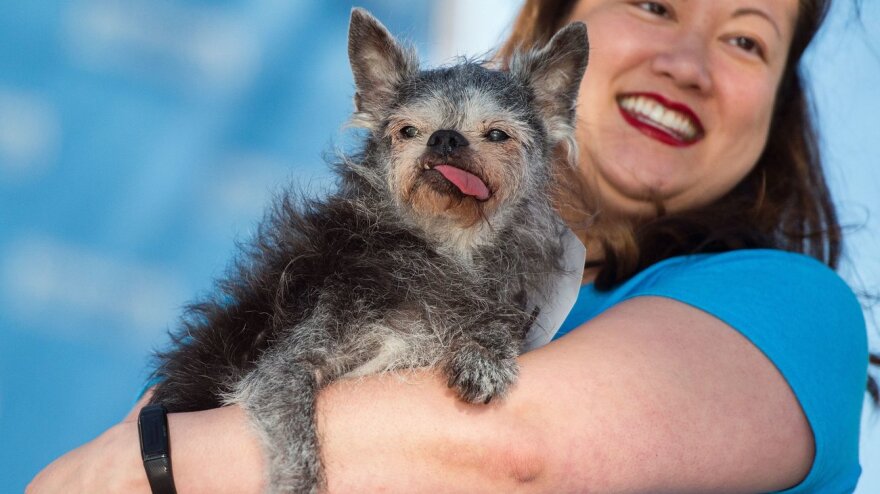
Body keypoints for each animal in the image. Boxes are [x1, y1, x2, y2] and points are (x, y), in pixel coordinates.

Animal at [150, 8, 588, 494]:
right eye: (408, 130)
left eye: (497, 134)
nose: (445, 138)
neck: (442, 249)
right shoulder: (284, 368)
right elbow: (295, 427)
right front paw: (299, 483)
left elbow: (496, 321)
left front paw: (484, 354)